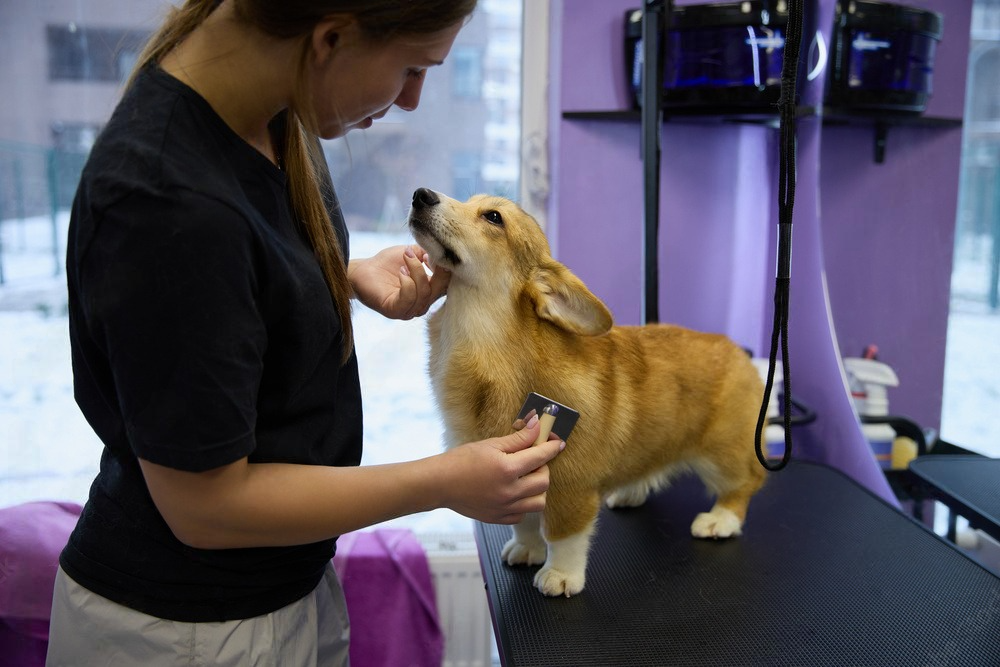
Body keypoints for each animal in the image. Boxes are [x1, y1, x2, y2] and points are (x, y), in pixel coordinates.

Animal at [406, 189, 764, 600]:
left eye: (493, 217)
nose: (421, 195)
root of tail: (738, 351)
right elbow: (525, 523)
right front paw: (527, 549)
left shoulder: (570, 485)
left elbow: (563, 535)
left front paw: (560, 575)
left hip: (723, 453)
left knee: (746, 482)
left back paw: (720, 519)